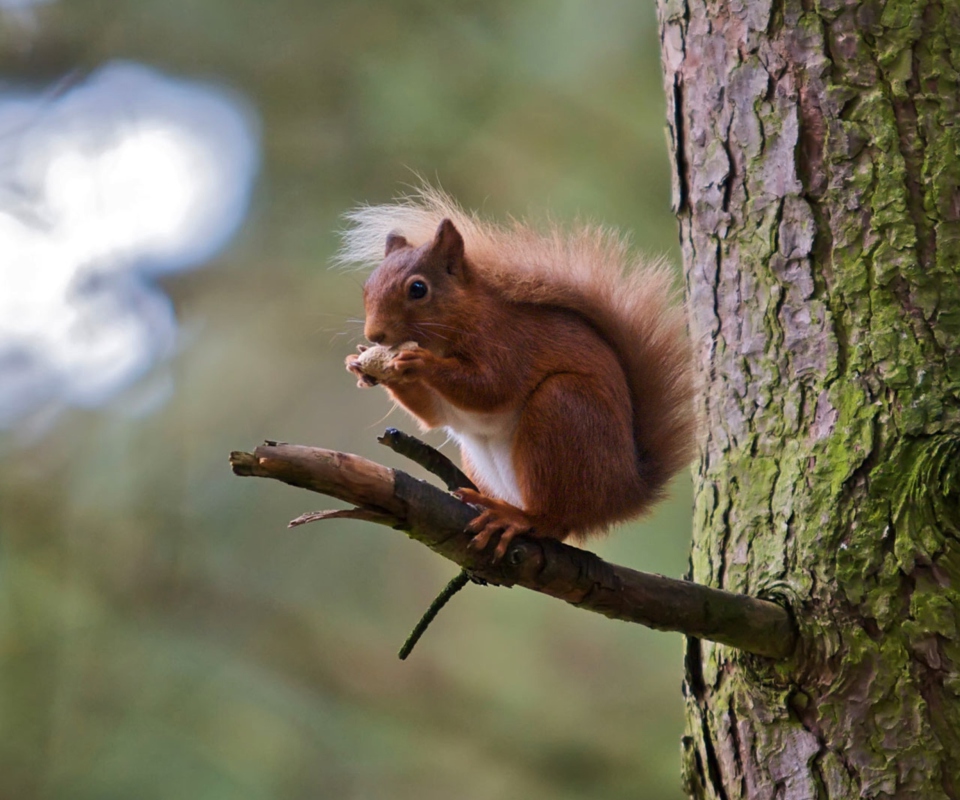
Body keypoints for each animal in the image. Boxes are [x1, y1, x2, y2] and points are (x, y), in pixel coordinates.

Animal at [342, 189, 692, 564]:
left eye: (418, 289)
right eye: (367, 288)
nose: (375, 334)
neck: (461, 320)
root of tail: (625, 492)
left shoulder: (508, 345)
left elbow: (491, 389)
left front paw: (419, 362)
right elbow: (433, 416)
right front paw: (360, 364)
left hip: (561, 415)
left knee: (555, 520)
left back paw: (516, 518)